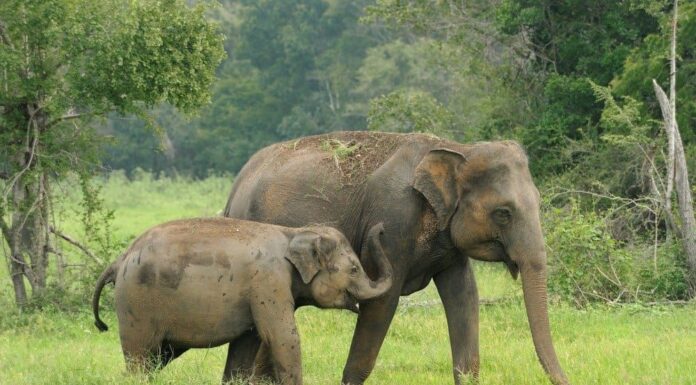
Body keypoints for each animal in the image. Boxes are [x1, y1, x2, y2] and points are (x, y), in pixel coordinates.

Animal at [92, 218, 392, 382]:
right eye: (354, 269)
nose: (381, 228)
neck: (293, 232)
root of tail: (119, 260)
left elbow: (248, 343)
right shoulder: (269, 282)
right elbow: (283, 336)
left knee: (152, 358)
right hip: (136, 303)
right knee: (141, 357)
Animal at [226, 130, 568, 382]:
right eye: (503, 213)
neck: (458, 148)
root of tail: (235, 186)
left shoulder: (449, 240)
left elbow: (464, 295)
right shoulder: (393, 219)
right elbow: (382, 301)